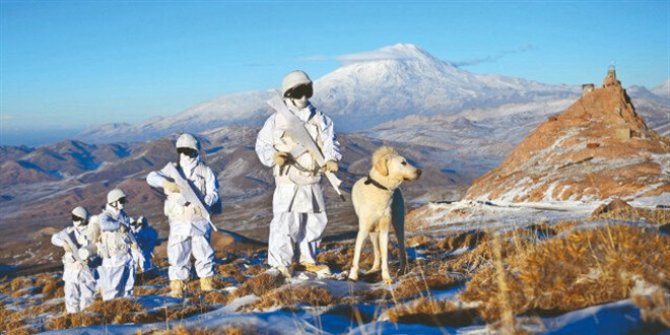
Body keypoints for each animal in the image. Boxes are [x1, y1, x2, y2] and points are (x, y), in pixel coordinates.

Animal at [350, 146, 422, 284]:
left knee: (401, 249)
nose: (420, 171)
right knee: (377, 251)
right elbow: (357, 255)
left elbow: (385, 257)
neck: (381, 188)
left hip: (398, 224)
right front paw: (353, 275)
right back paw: (373, 268)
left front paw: (387, 277)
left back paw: (402, 270)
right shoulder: (363, 230)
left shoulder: (384, 230)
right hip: (372, 232)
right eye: (403, 162)